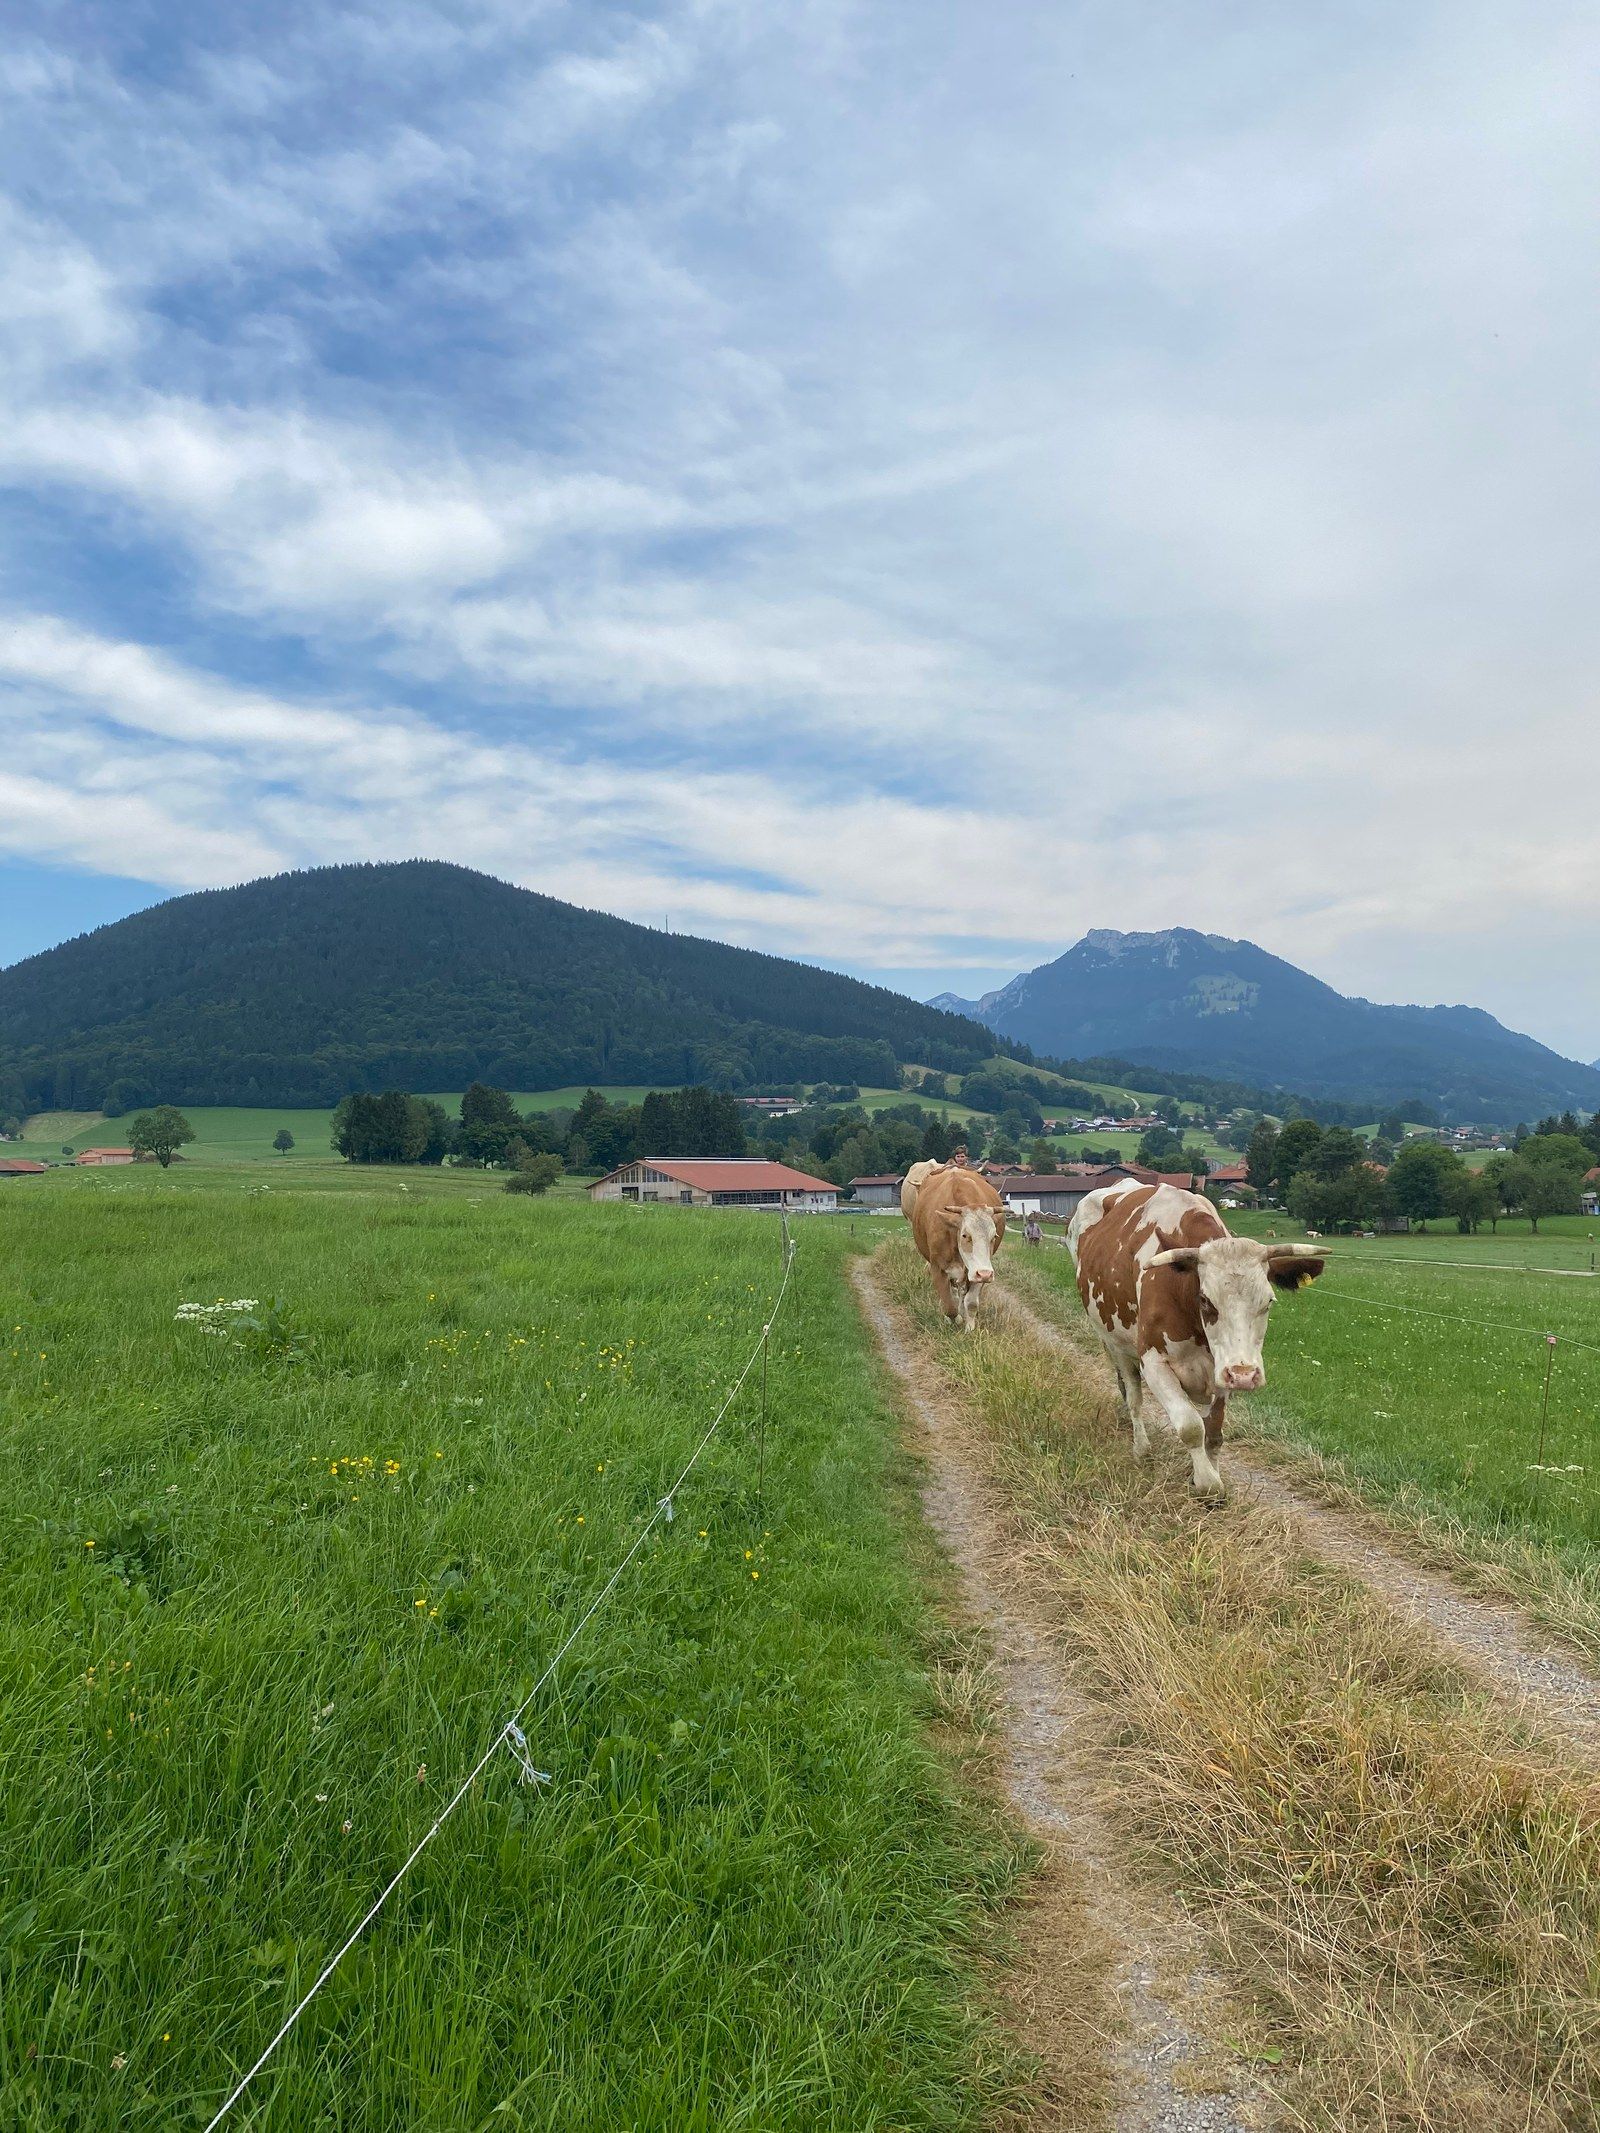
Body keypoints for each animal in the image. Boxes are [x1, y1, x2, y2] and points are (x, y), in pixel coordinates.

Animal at [908, 1163, 1007, 1330]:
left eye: (994, 1236)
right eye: (965, 1235)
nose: (986, 1274)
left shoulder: (977, 1270)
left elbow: (971, 1302)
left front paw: (970, 1327)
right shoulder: (937, 1268)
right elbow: (949, 1307)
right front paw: (955, 1319)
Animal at [1067, 1179, 1325, 1496]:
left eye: (1269, 1301)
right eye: (1205, 1300)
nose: (1244, 1375)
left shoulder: (1220, 1367)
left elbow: (1213, 1432)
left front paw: (1208, 1473)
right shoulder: (1154, 1363)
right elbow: (1191, 1427)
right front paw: (1207, 1484)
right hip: (1115, 1343)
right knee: (1133, 1397)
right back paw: (1141, 1449)